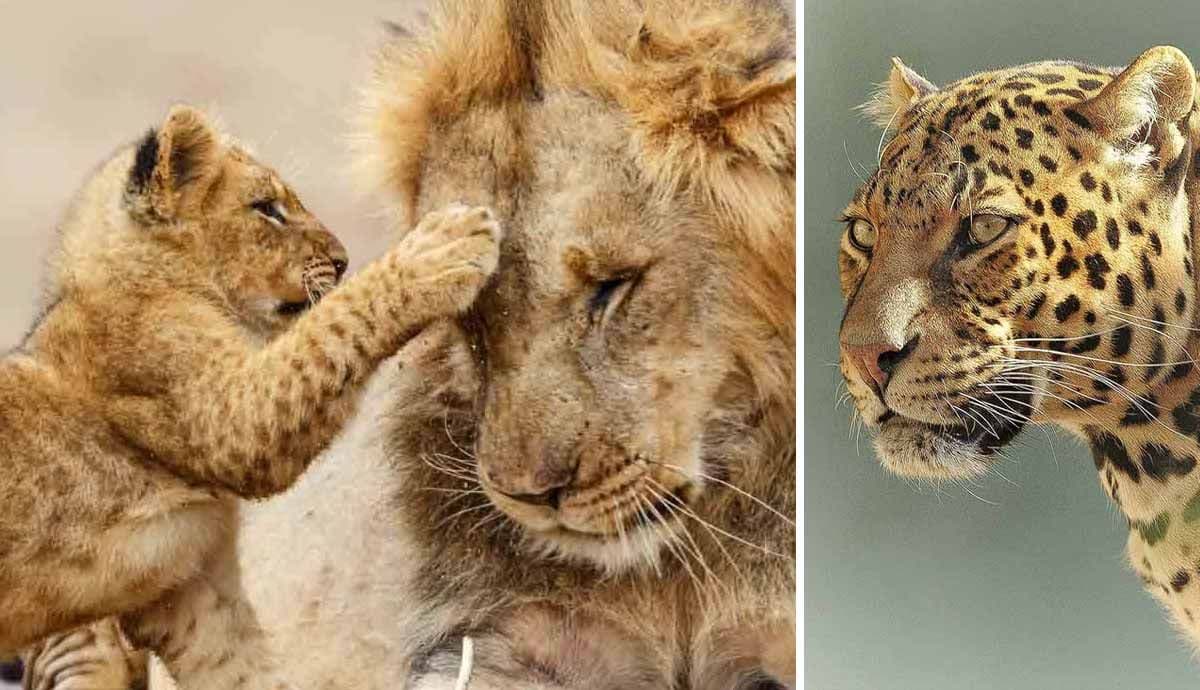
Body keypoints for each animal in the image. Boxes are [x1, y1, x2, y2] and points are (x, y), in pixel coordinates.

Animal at [0, 103, 501, 689]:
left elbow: (246, 670)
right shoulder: (230, 415)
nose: (342, 260)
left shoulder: (194, 595)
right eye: (267, 209)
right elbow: (331, 329)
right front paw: (441, 249)